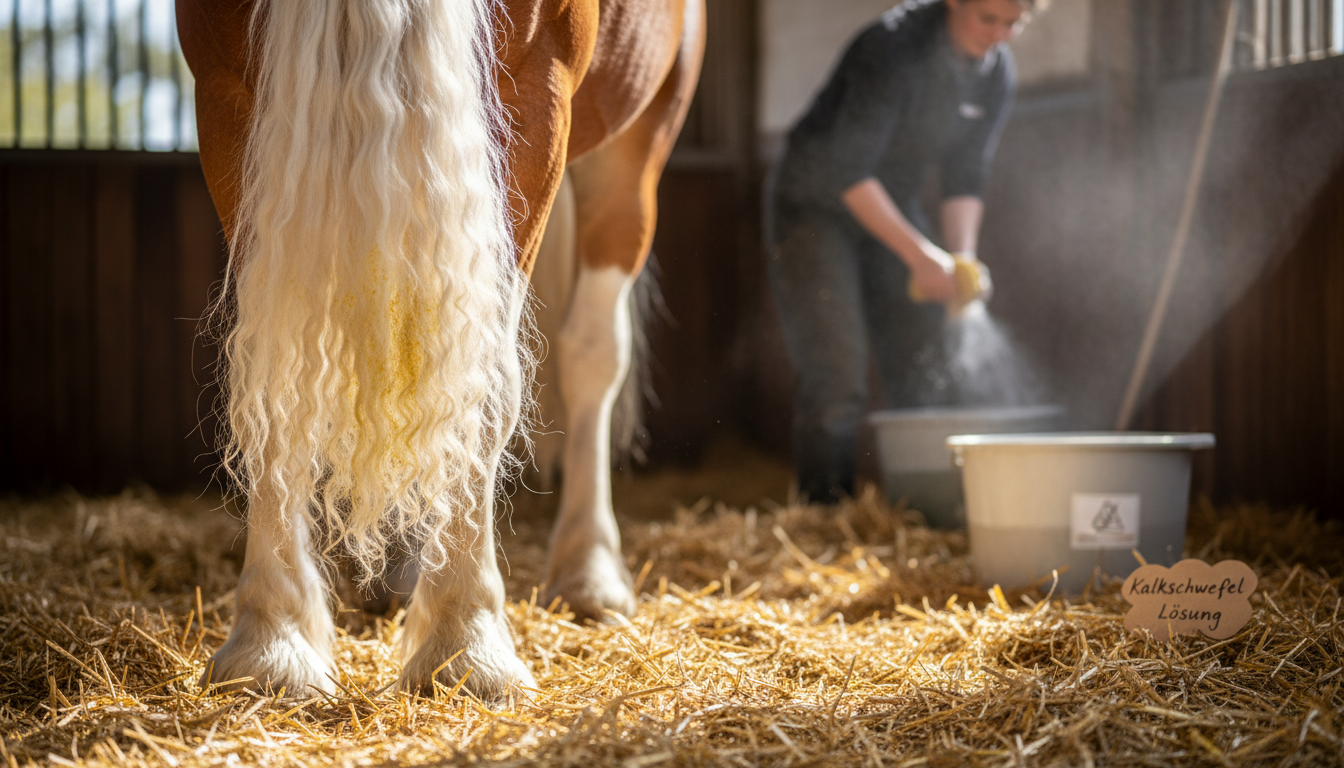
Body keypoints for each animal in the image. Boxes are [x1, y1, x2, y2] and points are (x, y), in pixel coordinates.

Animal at [176, 0, 704, 702]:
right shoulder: (227, 91)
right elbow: (276, 371)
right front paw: (271, 645)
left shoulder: (535, 92)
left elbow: (483, 381)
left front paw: (465, 643)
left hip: (637, 138)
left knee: (590, 353)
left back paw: (587, 571)